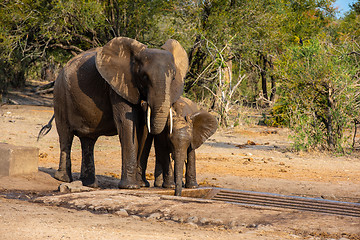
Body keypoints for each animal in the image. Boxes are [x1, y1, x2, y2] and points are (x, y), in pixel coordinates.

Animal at [53, 37, 190, 189]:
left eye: (173, 78)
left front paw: (141, 185)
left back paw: (90, 184)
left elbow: (143, 131)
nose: (144, 103)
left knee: (88, 140)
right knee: (65, 135)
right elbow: (127, 123)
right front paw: (131, 186)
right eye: (144, 77)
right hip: (60, 95)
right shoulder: (119, 85)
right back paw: (63, 178)